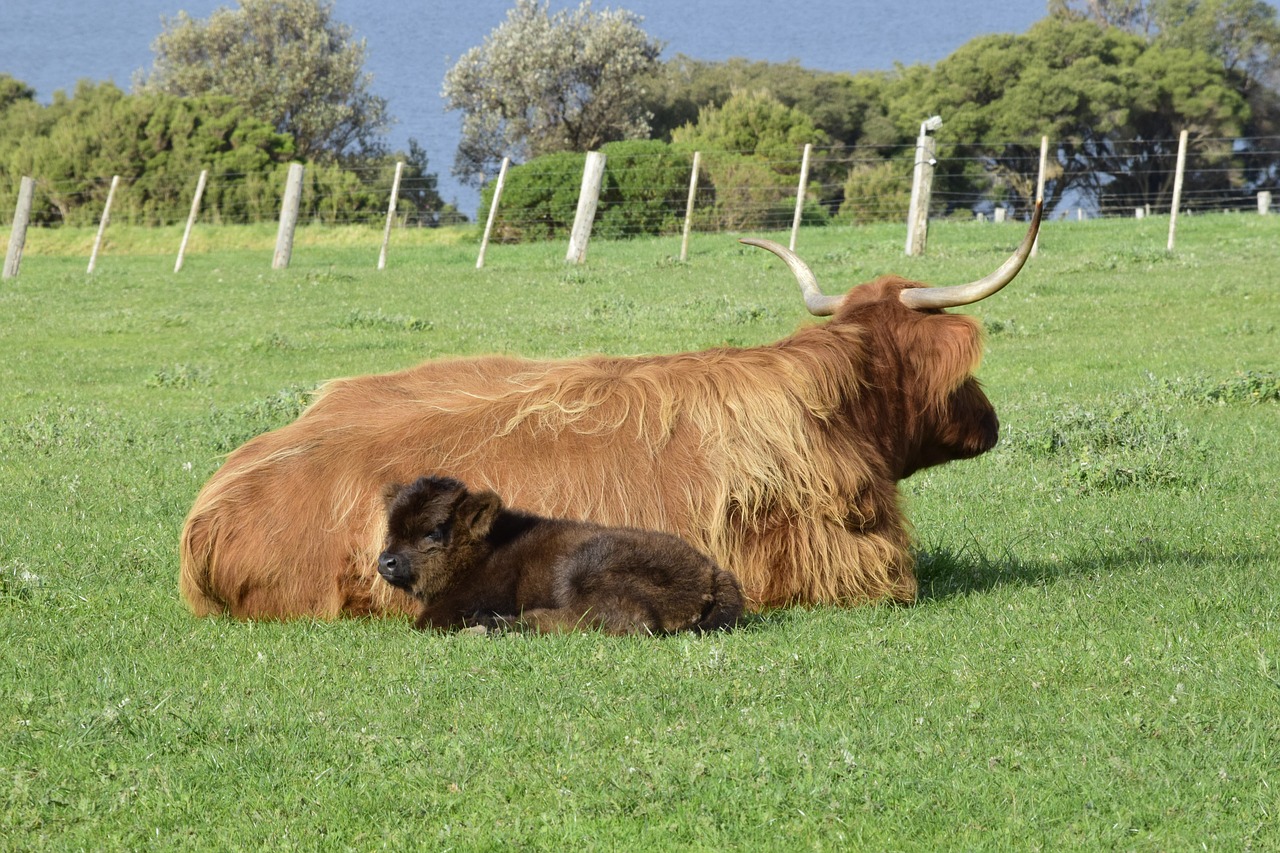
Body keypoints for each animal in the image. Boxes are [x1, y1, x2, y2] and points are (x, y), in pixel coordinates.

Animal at [373, 473, 747, 635]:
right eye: (391, 527)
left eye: (433, 531)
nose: (386, 561)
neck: (487, 549)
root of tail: (713, 573)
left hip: (582, 567)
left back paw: (497, 624)